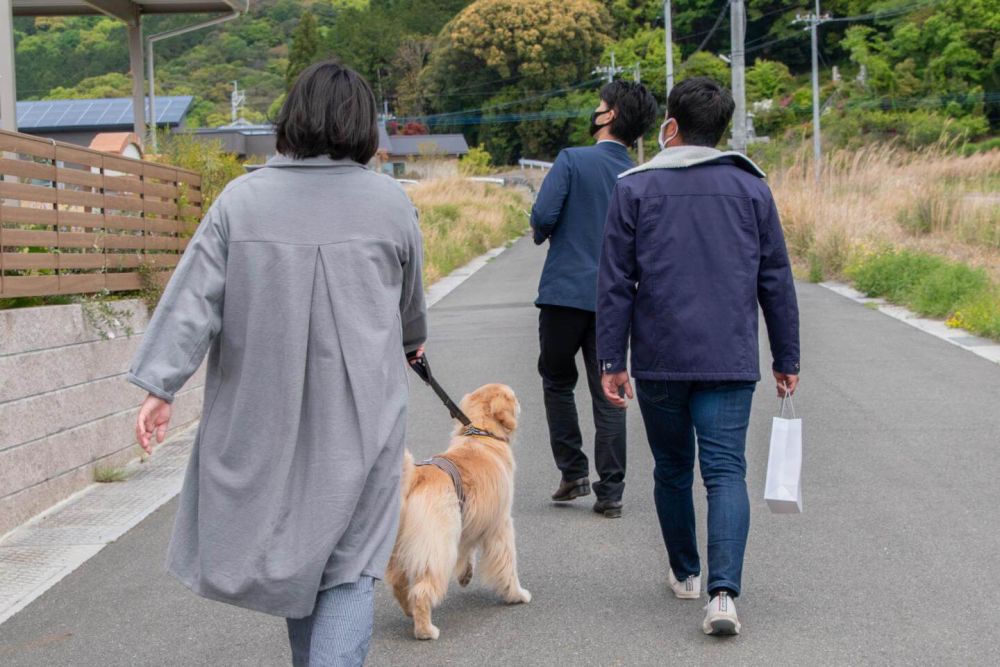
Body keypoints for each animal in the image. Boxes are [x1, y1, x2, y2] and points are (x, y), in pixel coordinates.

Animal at [386, 386, 536, 640]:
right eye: (514, 397)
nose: (521, 402)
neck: (481, 434)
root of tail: (416, 478)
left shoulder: (469, 520)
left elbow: (467, 550)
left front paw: (466, 574)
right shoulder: (501, 524)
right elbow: (508, 564)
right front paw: (516, 594)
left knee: (399, 583)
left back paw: (410, 612)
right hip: (439, 546)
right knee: (422, 590)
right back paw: (426, 630)